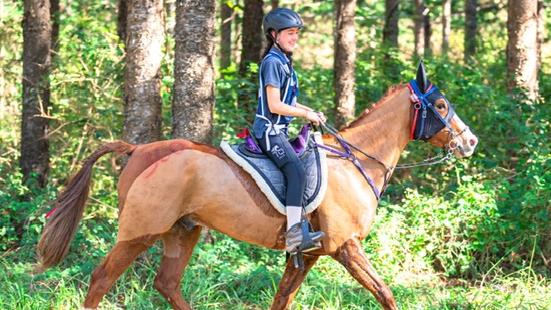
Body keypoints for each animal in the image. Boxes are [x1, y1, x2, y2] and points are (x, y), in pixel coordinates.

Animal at [38, 63, 478, 310]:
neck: (354, 161)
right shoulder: (345, 246)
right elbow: (385, 293)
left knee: (167, 284)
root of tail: (138, 150)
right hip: (139, 232)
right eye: (440, 106)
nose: (470, 141)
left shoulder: (309, 254)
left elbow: (282, 299)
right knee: (101, 281)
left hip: (183, 231)